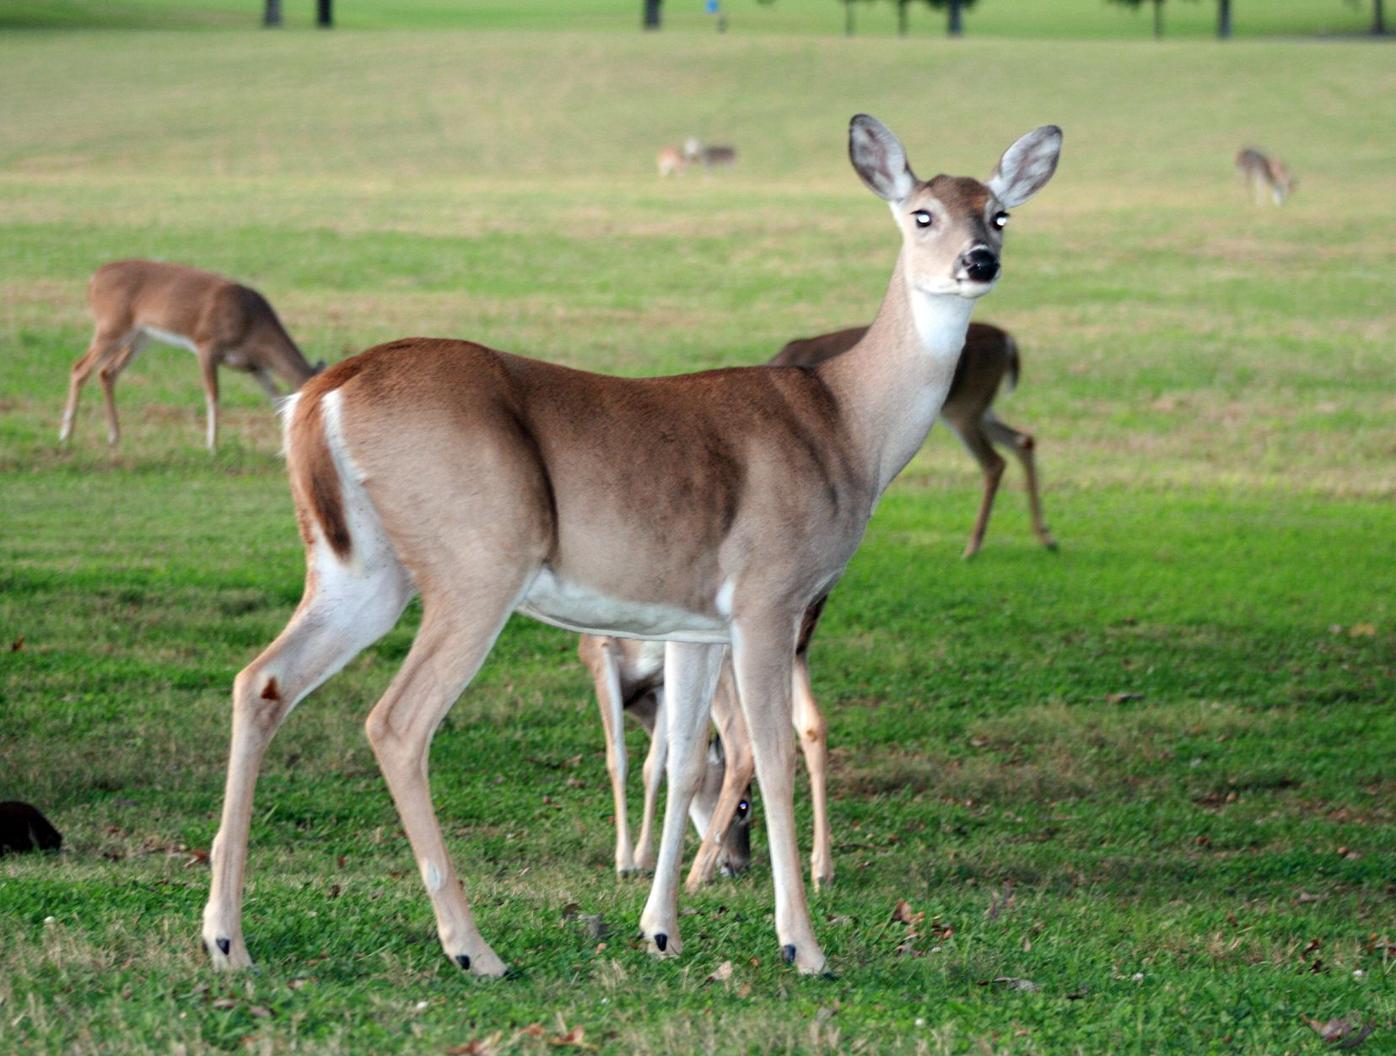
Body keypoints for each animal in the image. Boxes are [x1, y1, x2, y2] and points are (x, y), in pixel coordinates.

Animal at [59, 262, 323, 452]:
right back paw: (65, 436)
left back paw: (114, 437)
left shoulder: (254, 366)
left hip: (139, 337)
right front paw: (212, 446)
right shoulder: (206, 345)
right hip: (111, 326)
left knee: (107, 372)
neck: (252, 325)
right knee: (80, 368)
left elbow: (277, 401)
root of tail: (93, 279)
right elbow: (213, 395)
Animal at [770, 321, 1049, 561]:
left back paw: (972, 548)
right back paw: (1046, 537)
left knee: (994, 462)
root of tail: (1007, 340)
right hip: (979, 407)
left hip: (965, 405)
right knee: (1023, 441)